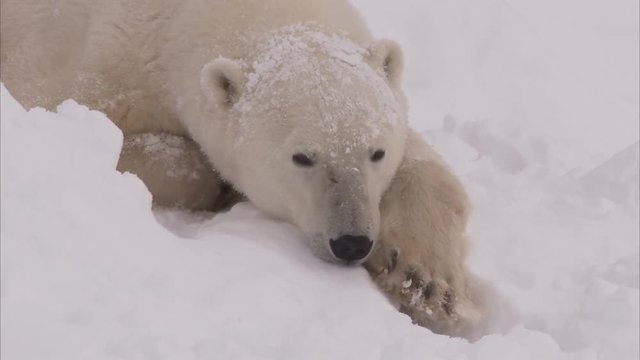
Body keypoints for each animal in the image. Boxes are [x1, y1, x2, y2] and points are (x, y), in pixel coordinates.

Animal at [1, 0, 484, 338]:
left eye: (376, 152)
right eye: (302, 157)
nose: (351, 242)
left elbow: (426, 165)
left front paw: (426, 284)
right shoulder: (87, 69)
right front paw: (221, 187)